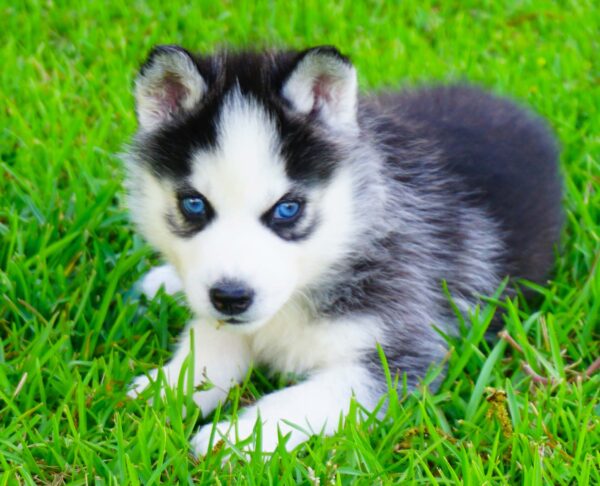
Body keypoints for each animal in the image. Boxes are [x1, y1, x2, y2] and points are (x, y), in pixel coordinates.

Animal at [124, 43, 564, 454]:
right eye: (194, 204)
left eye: (287, 208)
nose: (230, 297)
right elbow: (203, 356)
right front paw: (160, 392)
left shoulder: (397, 355)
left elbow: (294, 403)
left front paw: (234, 439)